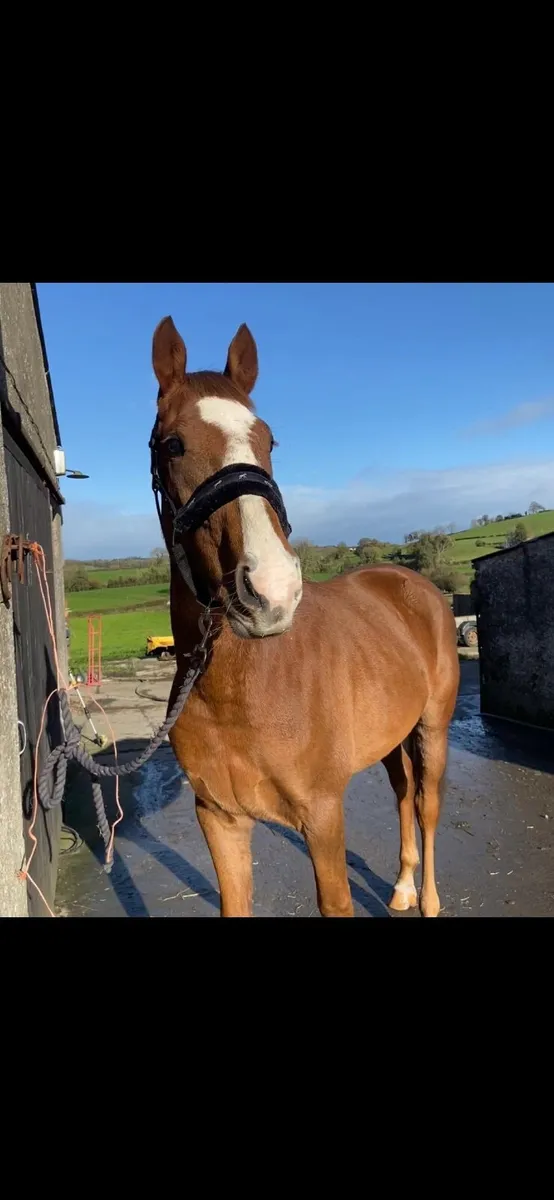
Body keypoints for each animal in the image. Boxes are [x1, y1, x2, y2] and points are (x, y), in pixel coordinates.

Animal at [150, 316, 460, 917]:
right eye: (173, 444)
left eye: (269, 440)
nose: (271, 592)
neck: (240, 688)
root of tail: (414, 585)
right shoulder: (219, 818)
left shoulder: (322, 817)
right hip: (392, 737)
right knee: (403, 793)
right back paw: (403, 886)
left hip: (433, 727)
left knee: (427, 804)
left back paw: (430, 898)